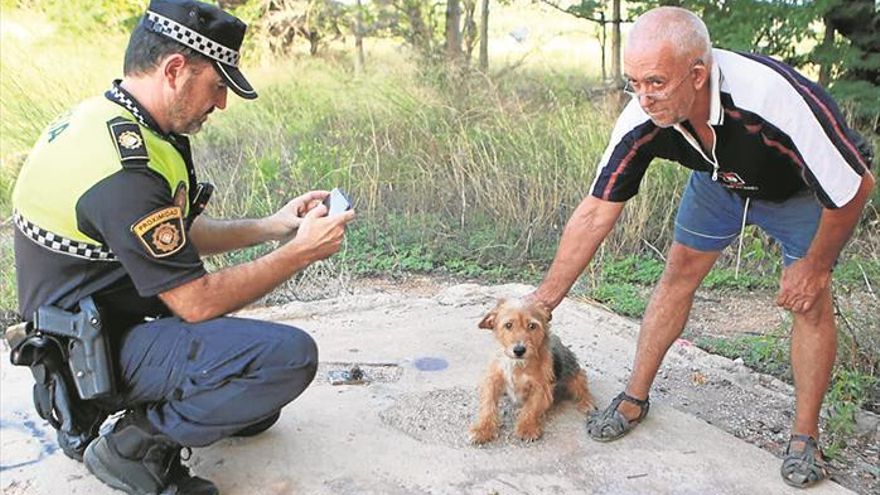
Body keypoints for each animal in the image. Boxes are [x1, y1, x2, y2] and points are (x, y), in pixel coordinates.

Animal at [470, 296, 596, 444]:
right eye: (508, 325)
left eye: (532, 326)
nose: (519, 350)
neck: (518, 364)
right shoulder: (492, 380)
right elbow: (488, 405)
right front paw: (482, 428)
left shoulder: (541, 387)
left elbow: (531, 407)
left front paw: (527, 427)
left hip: (572, 372)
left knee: (582, 387)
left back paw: (587, 403)